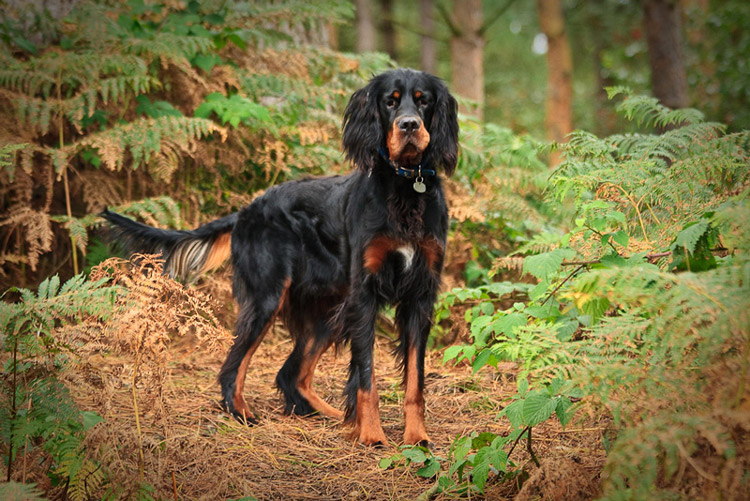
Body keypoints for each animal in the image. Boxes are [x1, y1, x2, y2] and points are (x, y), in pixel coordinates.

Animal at [103, 67, 462, 446]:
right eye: (390, 102)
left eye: (424, 101)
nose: (409, 125)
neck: (405, 187)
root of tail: (245, 211)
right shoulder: (364, 295)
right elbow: (366, 376)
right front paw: (371, 435)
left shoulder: (420, 295)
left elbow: (415, 380)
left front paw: (416, 437)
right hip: (268, 297)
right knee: (233, 365)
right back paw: (242, 414)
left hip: (328, 309)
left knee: (291, 375)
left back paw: (333, 416)